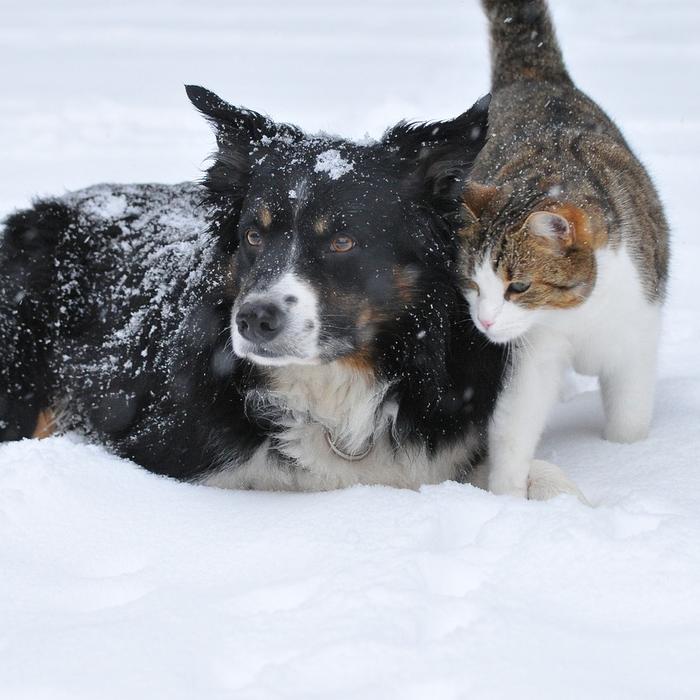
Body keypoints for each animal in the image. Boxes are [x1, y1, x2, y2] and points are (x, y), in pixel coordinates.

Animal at [460, 0, 668, 498]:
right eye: (472, 284)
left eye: (518, 286)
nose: (485, 322)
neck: (580, 313)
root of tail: (534, 77)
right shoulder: (532, 351)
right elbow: (513, 423)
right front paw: (506, 495)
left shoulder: (636, 333)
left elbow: (630, 418)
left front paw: (631, 460)